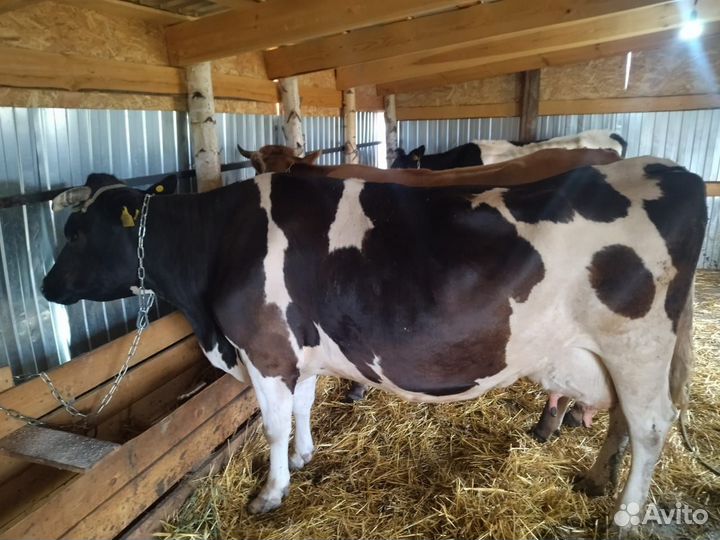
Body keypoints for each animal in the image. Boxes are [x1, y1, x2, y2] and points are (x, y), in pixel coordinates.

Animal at [42, 158, 706, 533]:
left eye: (76, 232)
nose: (46, 286)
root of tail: (677, 172)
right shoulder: (301, 348)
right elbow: (305, 407)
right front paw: (306, 458)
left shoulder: (265, 350)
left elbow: (273, 426)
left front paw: (271, 492)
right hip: (616, 355)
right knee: (623, 419)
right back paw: (595, 480)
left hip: (637, 343)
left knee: (651, 426)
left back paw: (624, 518)